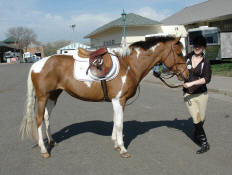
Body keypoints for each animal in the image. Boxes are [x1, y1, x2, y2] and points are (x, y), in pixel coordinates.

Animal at [20, 36, 188, 158]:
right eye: (179, 53)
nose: (186, 75)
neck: (129, 65)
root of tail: (37, 64)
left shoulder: (117, 101)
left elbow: (116, 121)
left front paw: (116, 144)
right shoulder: (119, 100)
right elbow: (120, 124)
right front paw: (122, 148)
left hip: (53, 96)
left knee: (47, 117)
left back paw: (52, 141)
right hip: (42, 97)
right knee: (39, 119)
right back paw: (44, 150)